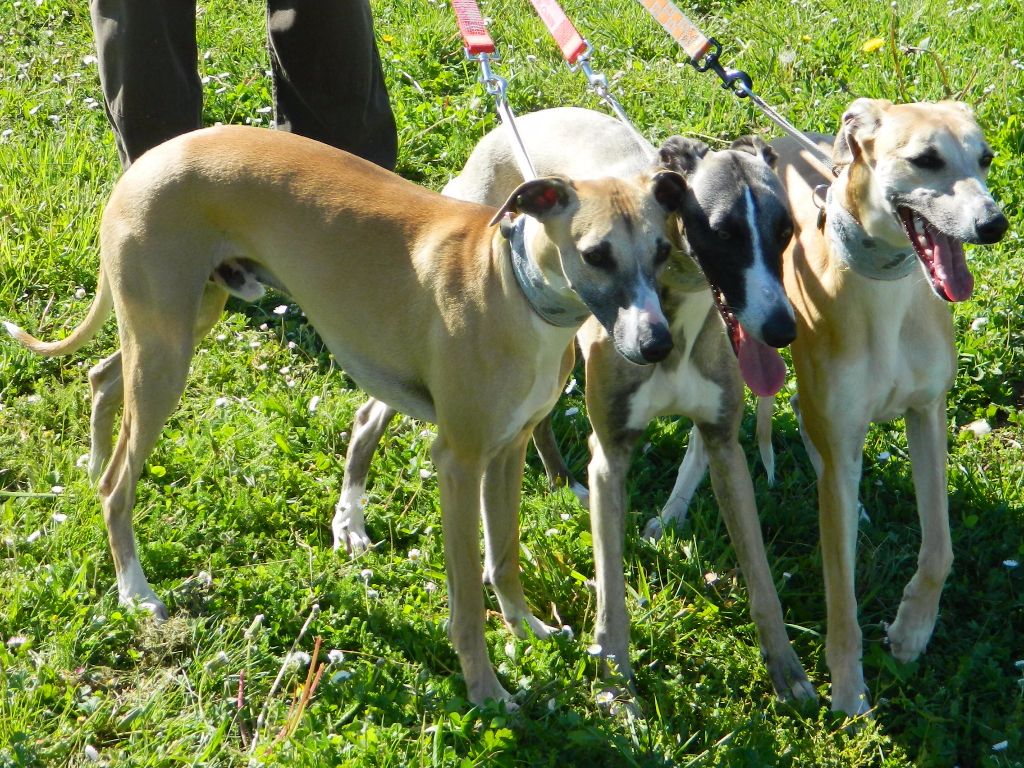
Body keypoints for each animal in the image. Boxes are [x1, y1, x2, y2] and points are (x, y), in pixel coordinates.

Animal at [8, 126, 688, 708]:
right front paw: (486, 690)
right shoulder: (459, 460)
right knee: (117, 482)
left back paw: (93, 462)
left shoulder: (508, 449)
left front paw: (528, 631)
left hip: (176, 325)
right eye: (596, 255)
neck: (514, 287)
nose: (658, 345)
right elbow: (468, 598)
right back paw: (134, 588)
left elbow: (504, 557)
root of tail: (146, 162)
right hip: (167, 352)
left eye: (663, 251)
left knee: (102, 381)